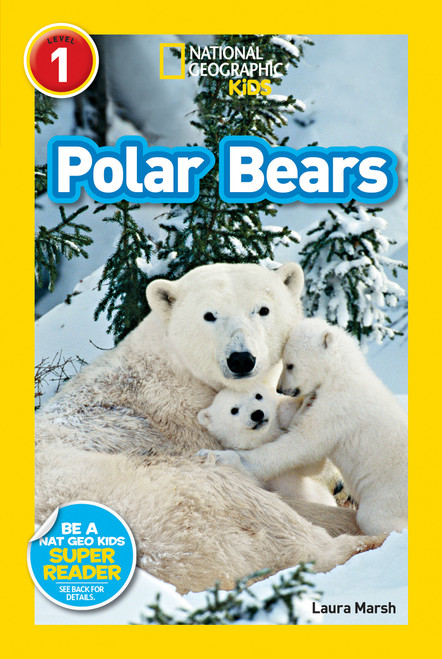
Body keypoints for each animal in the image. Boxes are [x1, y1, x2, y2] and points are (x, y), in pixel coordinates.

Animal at [197, 385, 337, 506]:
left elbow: (312, 466)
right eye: (234, 410)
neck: (262, 439)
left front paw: (307, 404)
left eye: (258, 396)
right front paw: (212, 455)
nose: (257, 414)